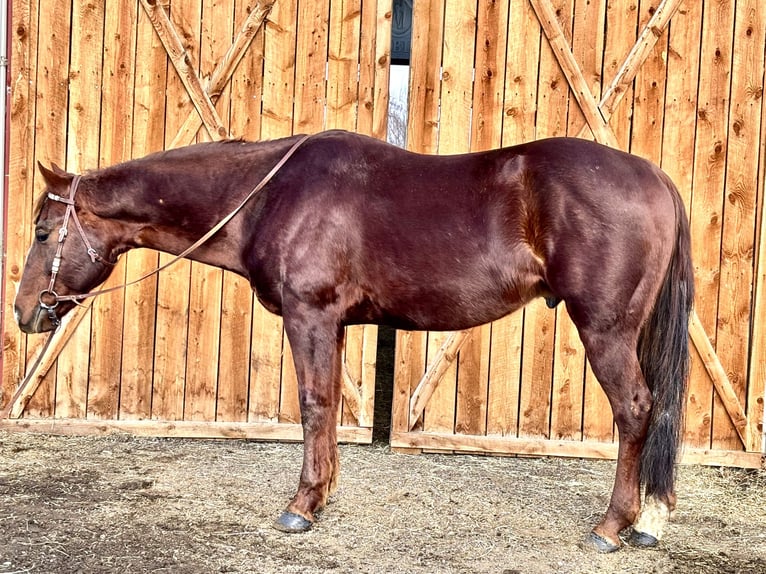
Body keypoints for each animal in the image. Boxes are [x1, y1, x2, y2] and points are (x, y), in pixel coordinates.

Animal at [13, 129, 693, 552]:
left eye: (44, 231)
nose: (23, 314)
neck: (268, 194)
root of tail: (655, 176)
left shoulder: (309, 315)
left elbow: (314, 405)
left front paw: (301, 504)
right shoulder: (333, 325)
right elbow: (329, 408)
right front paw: (323, 495)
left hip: (606, 328)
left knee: (636, 410)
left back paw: (614, 525)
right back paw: (649, 520)